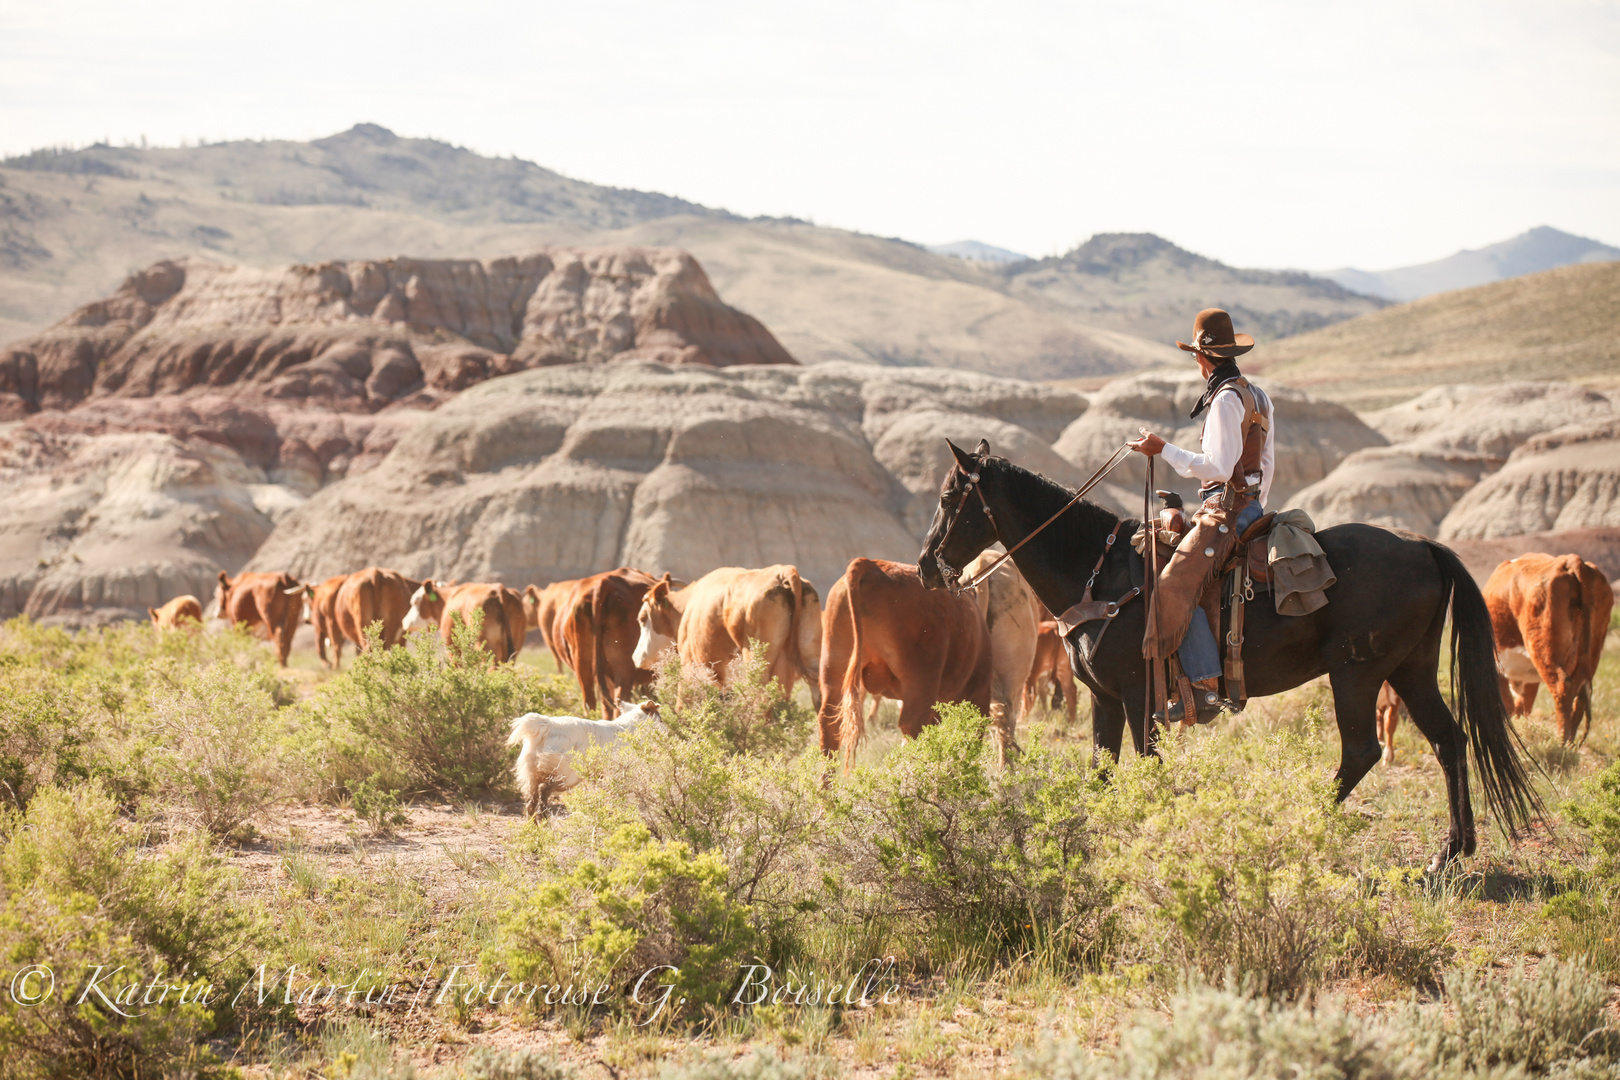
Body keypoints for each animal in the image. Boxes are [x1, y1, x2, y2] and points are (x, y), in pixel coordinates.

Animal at [628, 566, 822, 709]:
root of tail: (783, 571)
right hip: (812, 661)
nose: (635, 657)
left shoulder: (688, 665)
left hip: (756, 664)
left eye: (642, 618)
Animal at [816, 563, 991, 764]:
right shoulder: (979, 695)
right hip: (921, 683)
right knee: (912, 726)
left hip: (834, 669)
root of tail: (871, 565)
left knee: (830, 723)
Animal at [926, 440, 1542, 867]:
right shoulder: (1103, 698)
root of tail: (1423, 546)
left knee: (1362, 751)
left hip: (1357, 673)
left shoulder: (1139, 695)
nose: (928, 567)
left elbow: (1147, 768)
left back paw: (1304, 829)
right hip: (1411, 669)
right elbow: (1101, 771)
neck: (1099, 576)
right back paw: (1451, 851)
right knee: (1449, 740)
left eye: (950, 499)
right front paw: (1086, 839)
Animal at [1483, 557, 1613, 744]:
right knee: (1581, 694)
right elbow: (1523, 706)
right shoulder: (1528, 678)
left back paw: (1561, 740)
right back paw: (1571, 743)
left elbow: (1508, 704)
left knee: (1562, 687)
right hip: (1592, 653)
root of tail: (1570, 560)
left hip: (1543, 649)